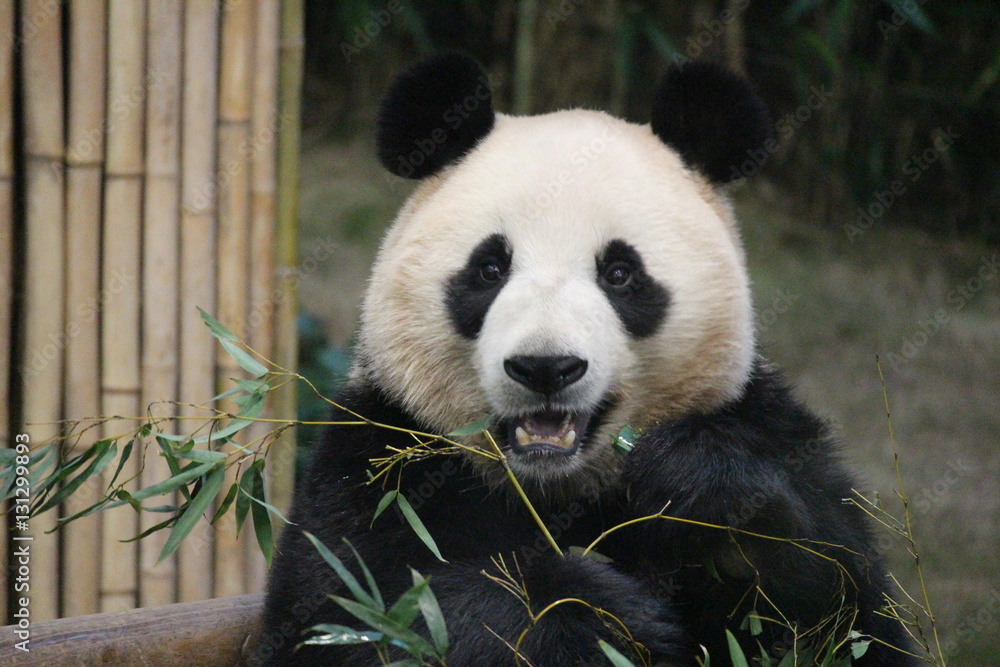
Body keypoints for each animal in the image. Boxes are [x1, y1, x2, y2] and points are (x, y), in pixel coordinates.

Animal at [252, 53, 914, 666]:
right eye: (489, 268)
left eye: (620, 273)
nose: (546, 367)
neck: (555, 486)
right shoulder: (382, 456)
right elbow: (364, 608)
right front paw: (598, 617)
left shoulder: (765, 426)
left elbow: (837, 608)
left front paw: (702, 494)